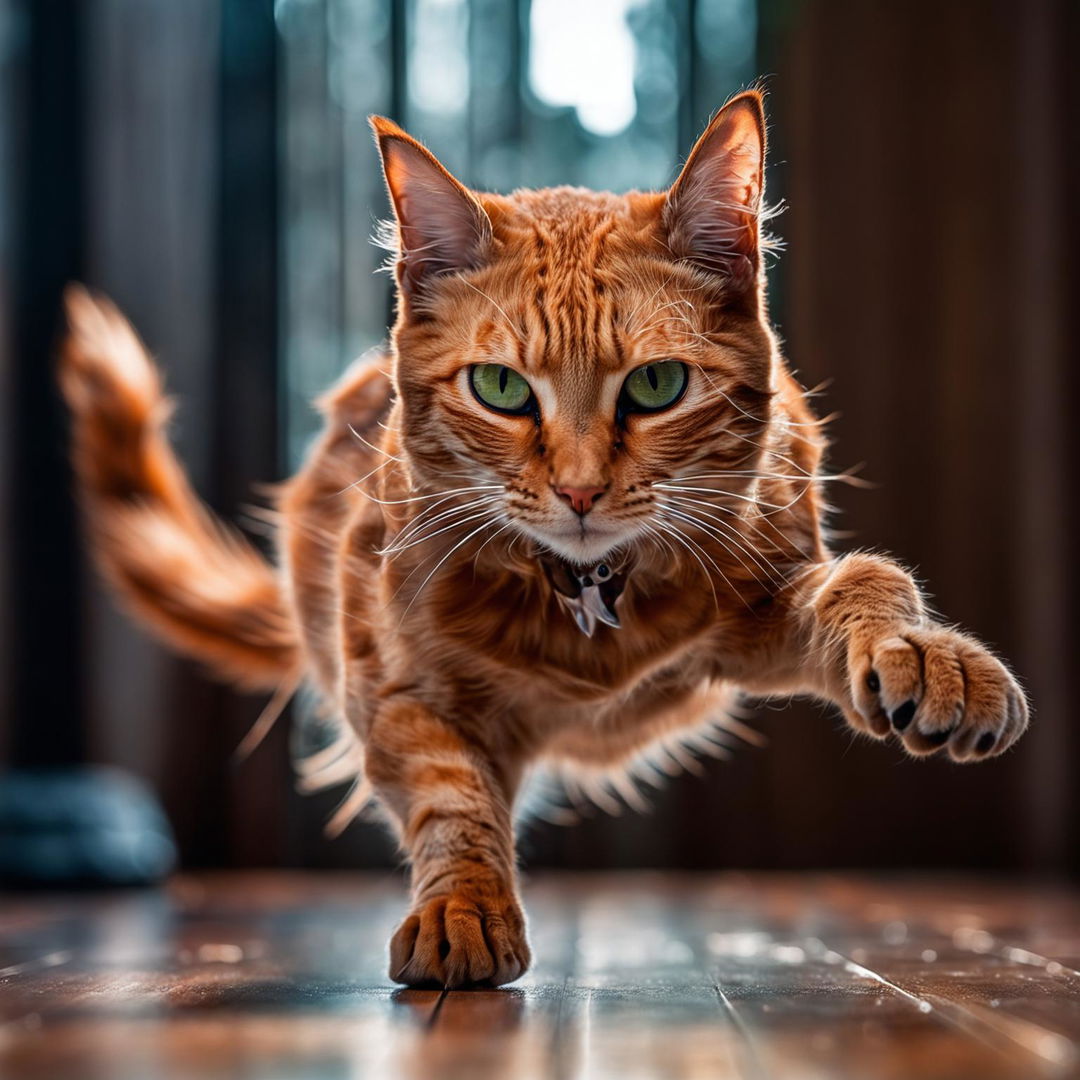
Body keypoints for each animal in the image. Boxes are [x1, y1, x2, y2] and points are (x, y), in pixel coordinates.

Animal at [59, 92, 1028, 989]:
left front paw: (928, 657)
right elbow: (452, 799)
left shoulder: (763, 603)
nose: (579, 489)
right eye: (499, 387)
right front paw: (462, 909)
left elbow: (862, 581)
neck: (585, 605)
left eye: (658, 384)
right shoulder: (398, 692)